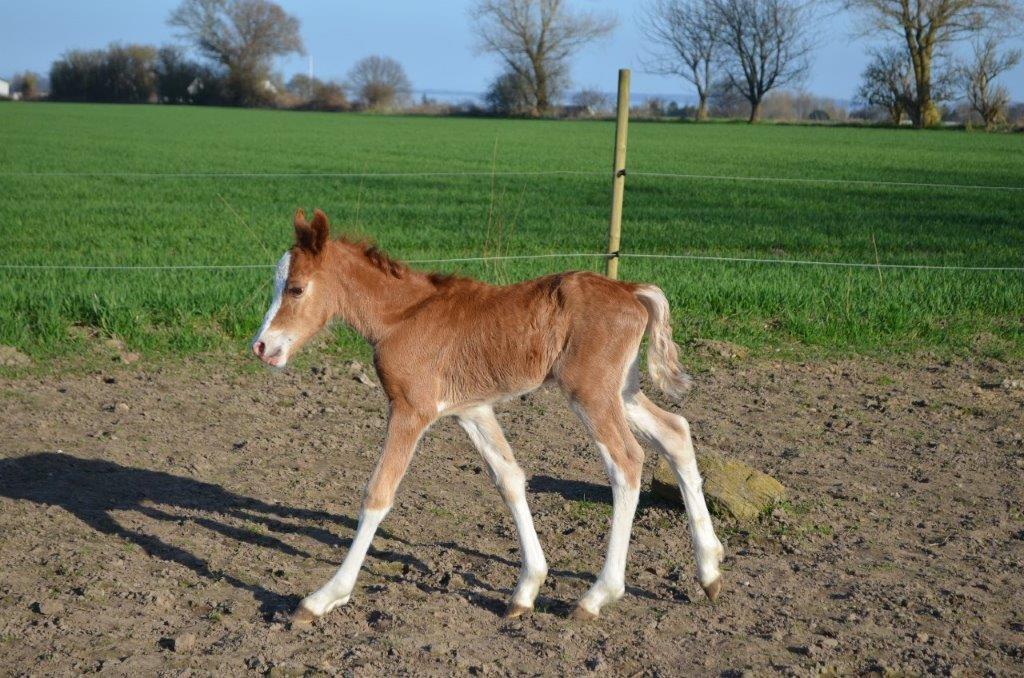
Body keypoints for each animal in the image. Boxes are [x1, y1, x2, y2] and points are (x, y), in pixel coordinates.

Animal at [251, 210, 724, 626]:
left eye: (296, 289)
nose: (261, 347)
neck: (401, 317)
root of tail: (631, 289)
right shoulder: (471, 410)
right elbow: (509, 477)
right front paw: (526, 589)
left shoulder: (410, 409)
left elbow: (377, 494)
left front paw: (323, 598)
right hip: (621, 390)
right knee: (676, 432)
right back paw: (710, 571)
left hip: (591, 393)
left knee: (626, 461)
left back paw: (596, 597)